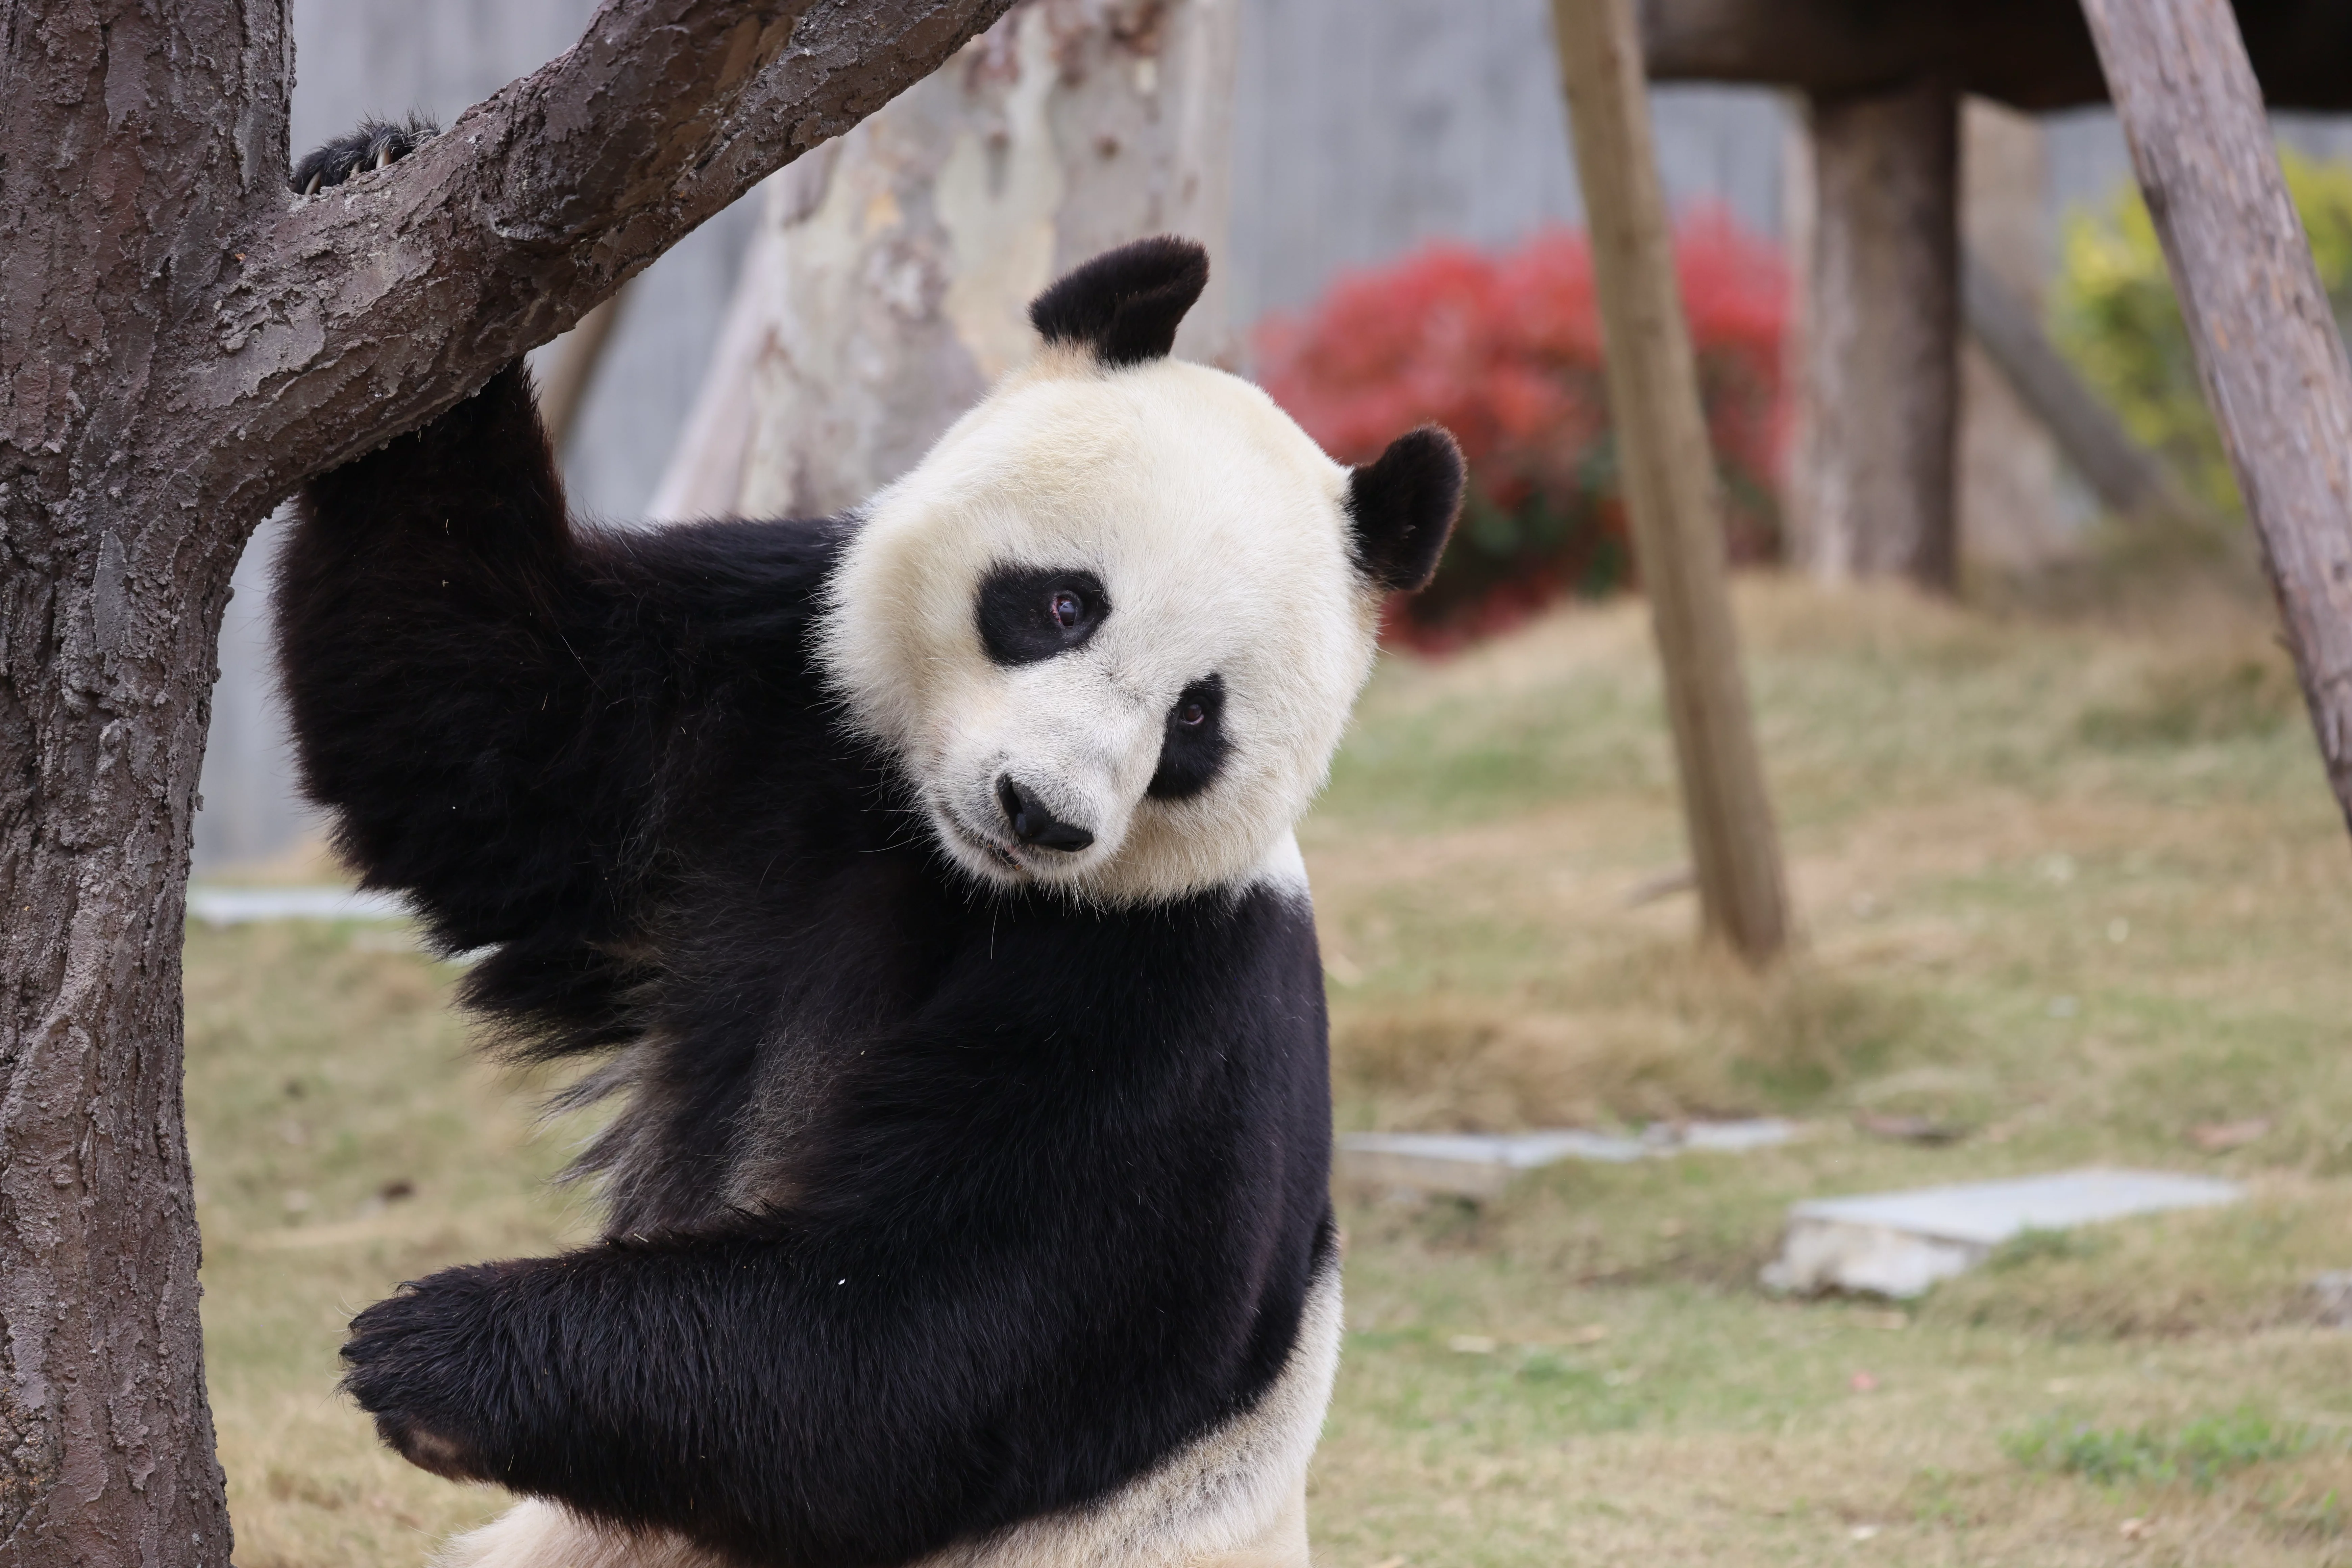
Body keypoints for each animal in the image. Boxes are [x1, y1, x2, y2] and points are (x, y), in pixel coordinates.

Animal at [277, 123, 1463, 1568]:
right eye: (1061, 603)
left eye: (1197, 716)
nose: (1043, 811)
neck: (951, 868)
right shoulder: (769, 699)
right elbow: (491, 734)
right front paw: (370, 177)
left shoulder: (1172, 992)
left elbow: (932, 1336)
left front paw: (432, 1353)